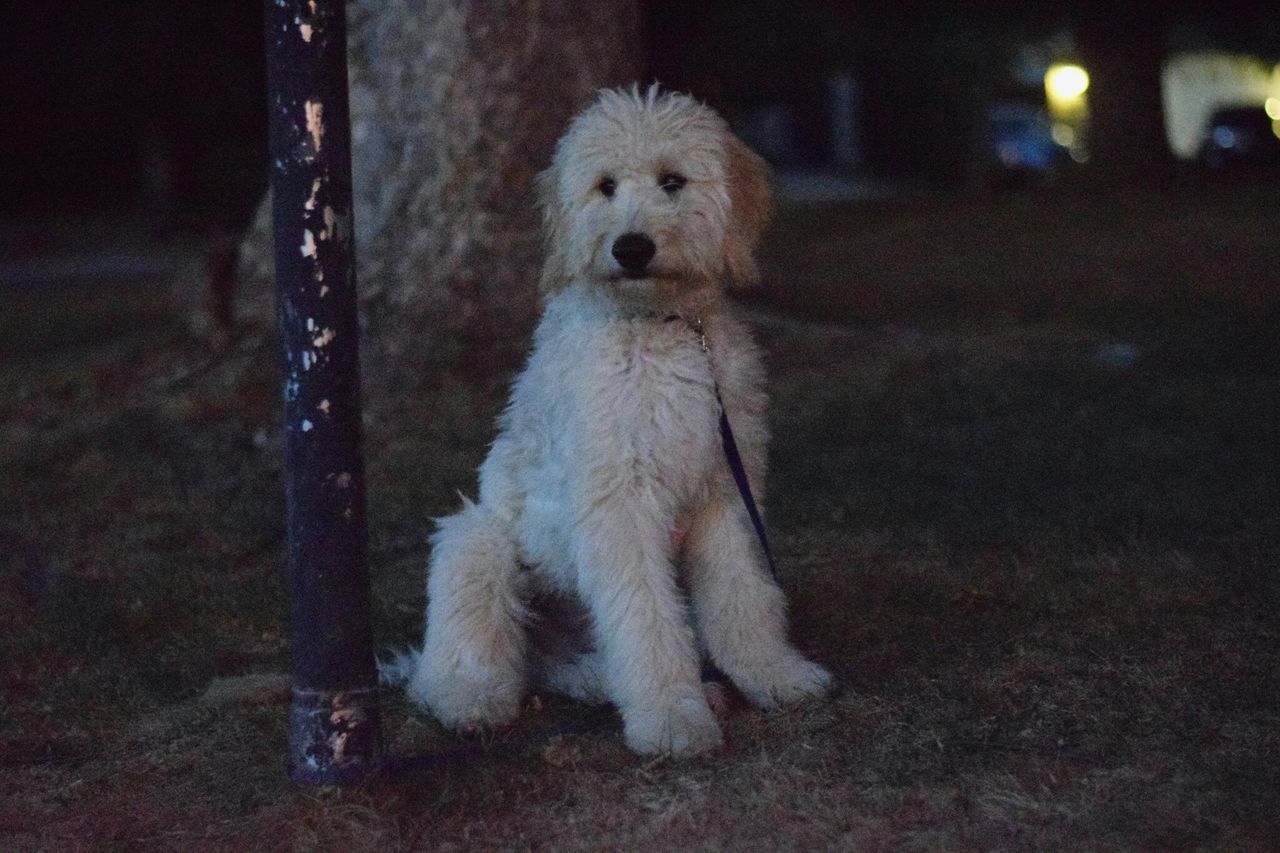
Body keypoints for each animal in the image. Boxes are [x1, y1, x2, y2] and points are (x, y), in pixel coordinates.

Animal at [399, 84, 834, 753]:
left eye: (673, 181)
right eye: (605, 186)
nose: (631, 248)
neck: (661, 328)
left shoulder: (724, 490)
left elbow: (744, 595)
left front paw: (775, 675)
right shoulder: (620, 502)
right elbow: (646, 617)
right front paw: (672, 719)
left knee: (573, 666)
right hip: (479, 540)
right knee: (466, 654)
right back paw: (471, 700)